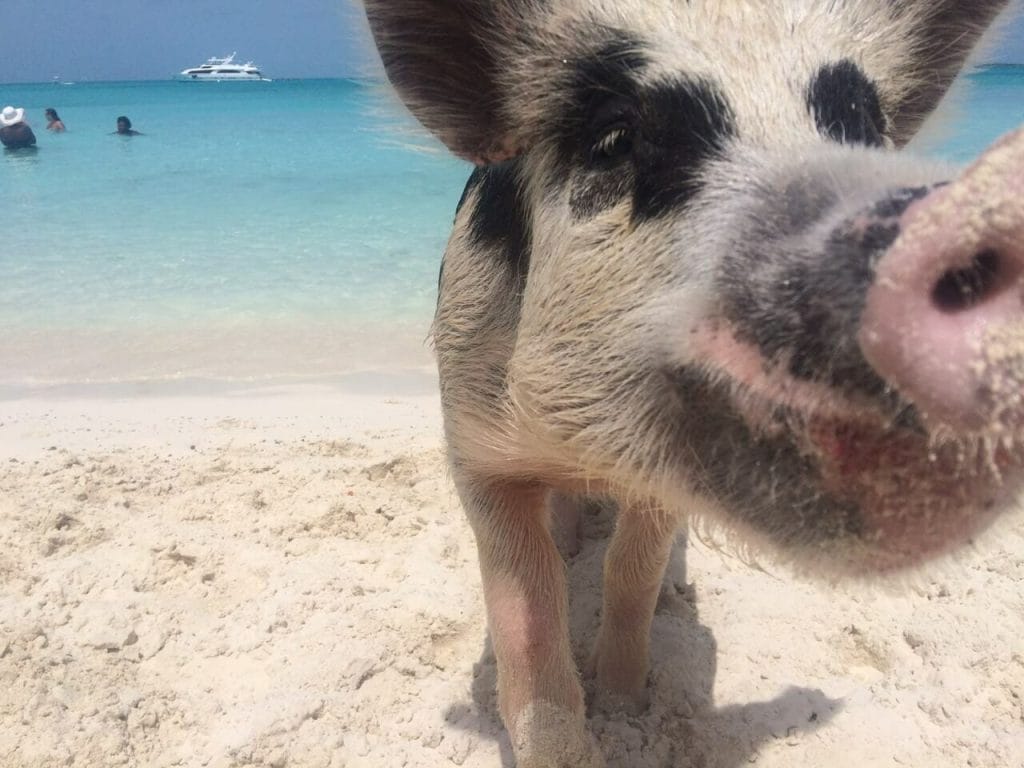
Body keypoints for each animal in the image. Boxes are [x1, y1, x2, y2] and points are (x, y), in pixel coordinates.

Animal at [360, 3, 1024, 765]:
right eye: (614, 139)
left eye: (864, 125)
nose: (947, 229)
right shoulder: (473, 440)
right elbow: (527, 612)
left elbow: (632, 571)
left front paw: (626, 701)